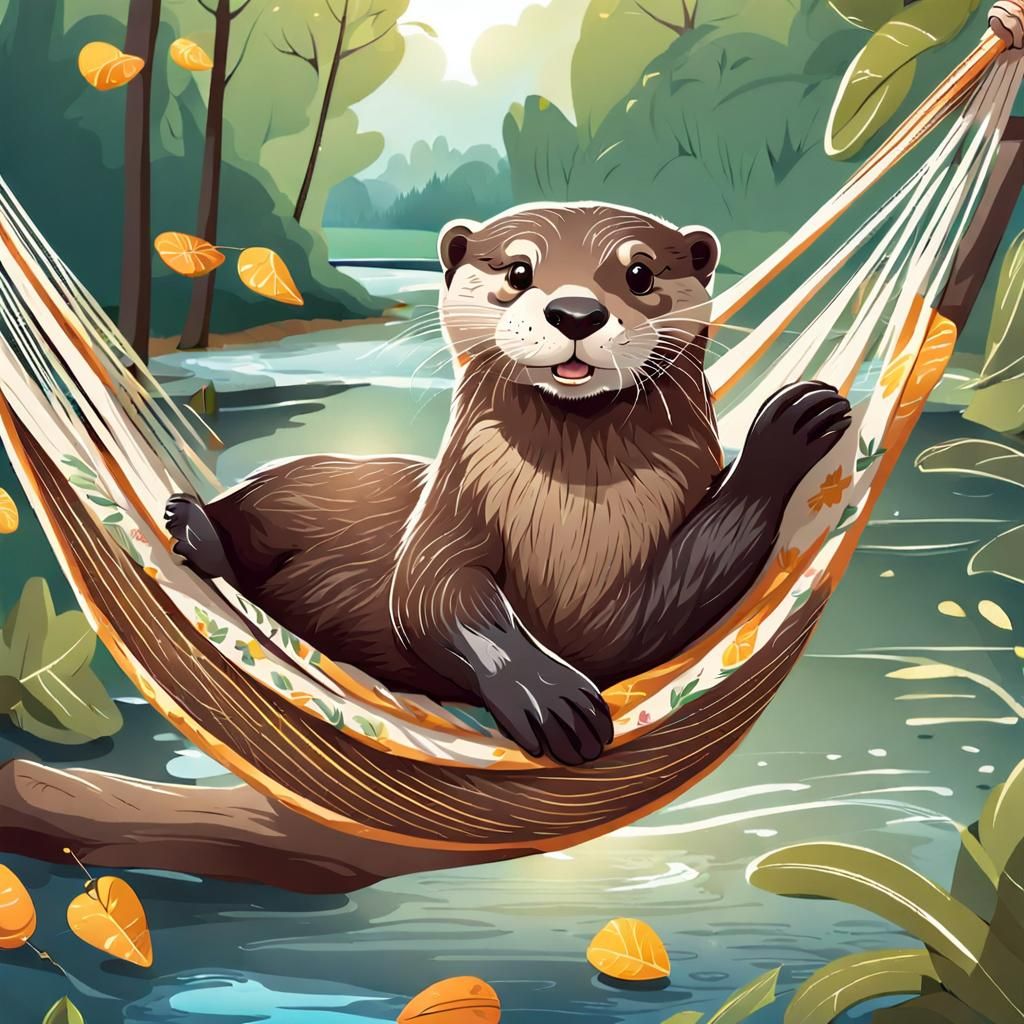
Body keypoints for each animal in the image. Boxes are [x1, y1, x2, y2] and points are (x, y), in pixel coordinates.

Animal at [164, 203, 851, 766]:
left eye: (639, 274)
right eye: (519, 271)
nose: (576, 311)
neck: (571, 510)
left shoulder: (624, 598)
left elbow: (678, 589)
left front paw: (793, 423)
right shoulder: (451, 509)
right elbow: (432, 593)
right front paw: (548, 697)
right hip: (299, 486)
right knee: (246, 511)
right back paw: (191, 526)